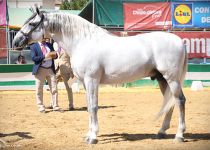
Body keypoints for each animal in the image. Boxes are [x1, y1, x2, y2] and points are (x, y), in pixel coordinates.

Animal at [13, 7, 187, 144]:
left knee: (179, 101)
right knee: (170, 102)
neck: (82, 42)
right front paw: (89, 134)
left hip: (171, 79)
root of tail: (180, 41)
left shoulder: (92, 80)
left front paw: (93, 137)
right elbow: (90, 107)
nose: (16, 42)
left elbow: (94, 107)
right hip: (162, 79)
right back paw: (161, 132)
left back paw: (179, 135)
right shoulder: (85, 82)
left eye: (31, 23)